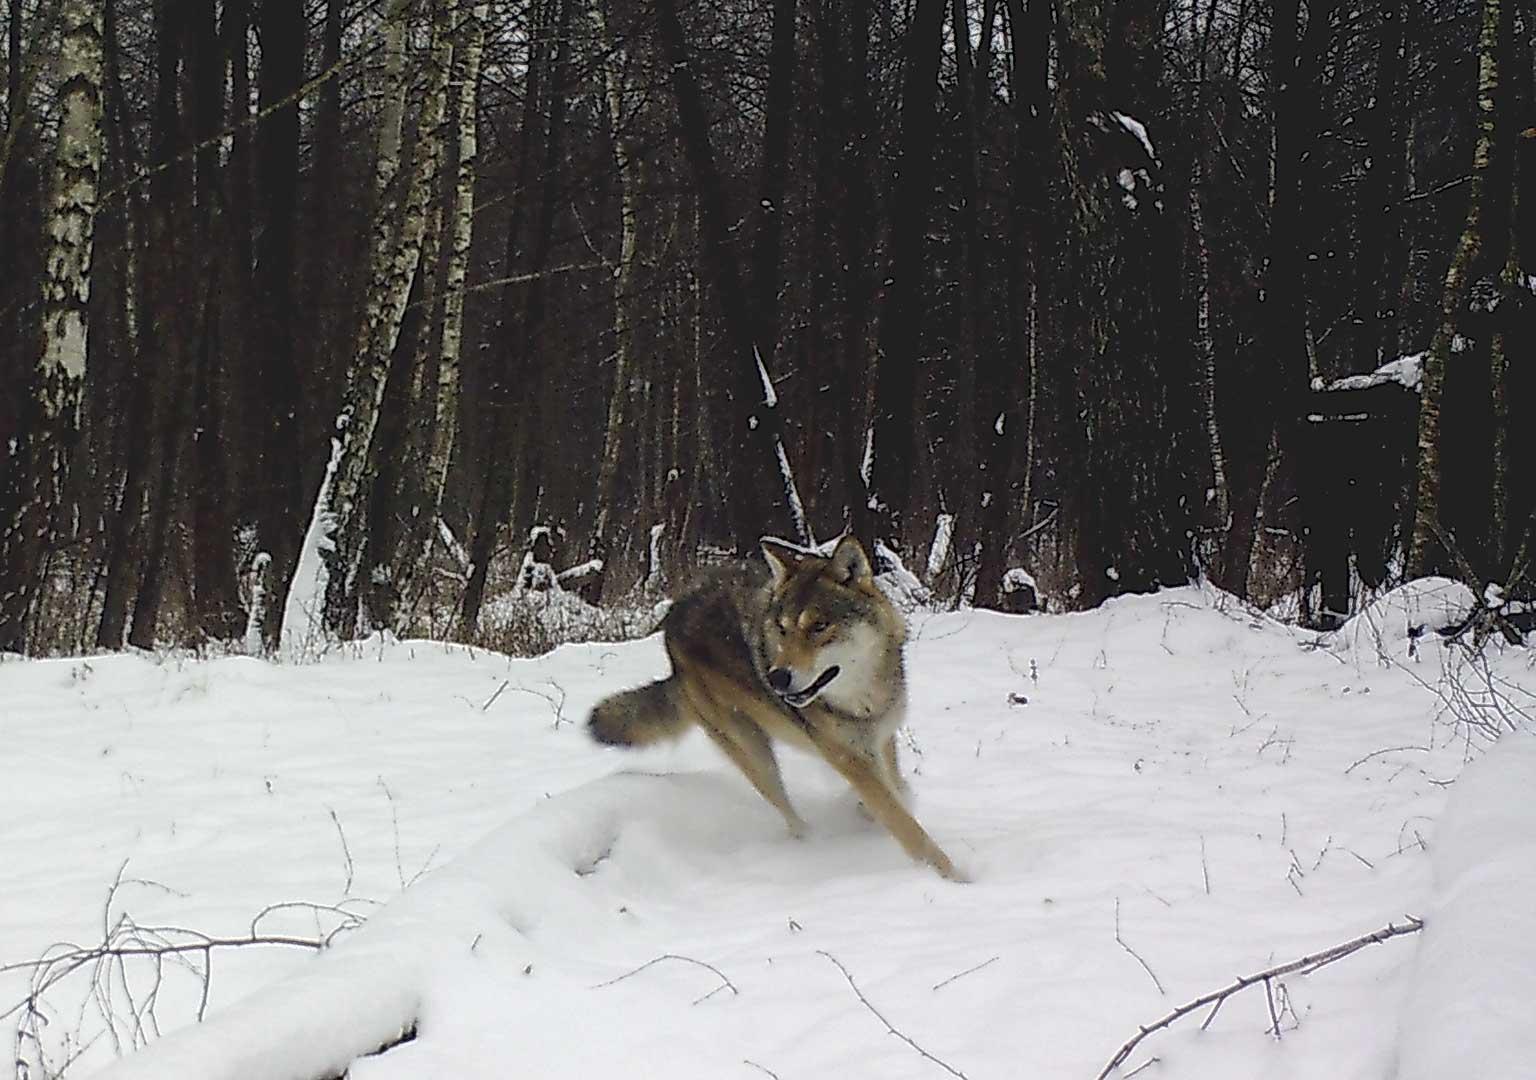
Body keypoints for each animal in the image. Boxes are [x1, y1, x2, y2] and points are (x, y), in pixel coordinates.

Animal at [586, 531, 958, 878]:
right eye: (782, 629)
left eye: (819, 626)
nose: (776, 677)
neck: (862, 700)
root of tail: (671, 625)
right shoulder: (847, 758)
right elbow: (906, 826)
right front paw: (956, 877)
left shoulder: (881, 738)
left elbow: (898, 789)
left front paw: (869, 811)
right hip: (754, 752)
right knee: (788, 811)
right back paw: (812, 844)